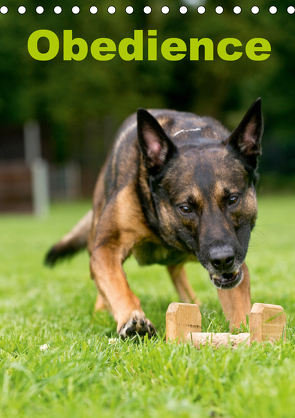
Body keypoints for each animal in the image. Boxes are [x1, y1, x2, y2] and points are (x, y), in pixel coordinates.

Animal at [46, 99, 264, 340]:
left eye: (233, 199)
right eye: (185, 208)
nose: (222, 259)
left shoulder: (235, 263)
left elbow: (238, 306)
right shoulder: (105, 249)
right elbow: (116, 283)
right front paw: (131, 318)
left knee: (176, 271)